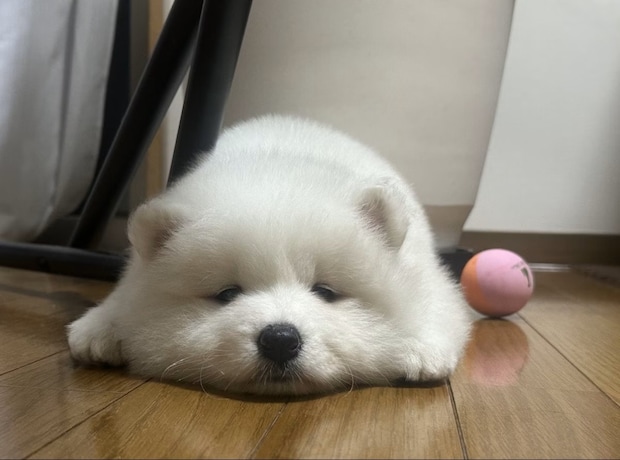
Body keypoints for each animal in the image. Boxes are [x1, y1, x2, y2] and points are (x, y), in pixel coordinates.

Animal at [67, 115, 471, 395]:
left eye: (325, 291)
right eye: (227, 294)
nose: (279, 339)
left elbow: (438, 305)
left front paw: (422, 347)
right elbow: (120, 304)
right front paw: (100, 330)